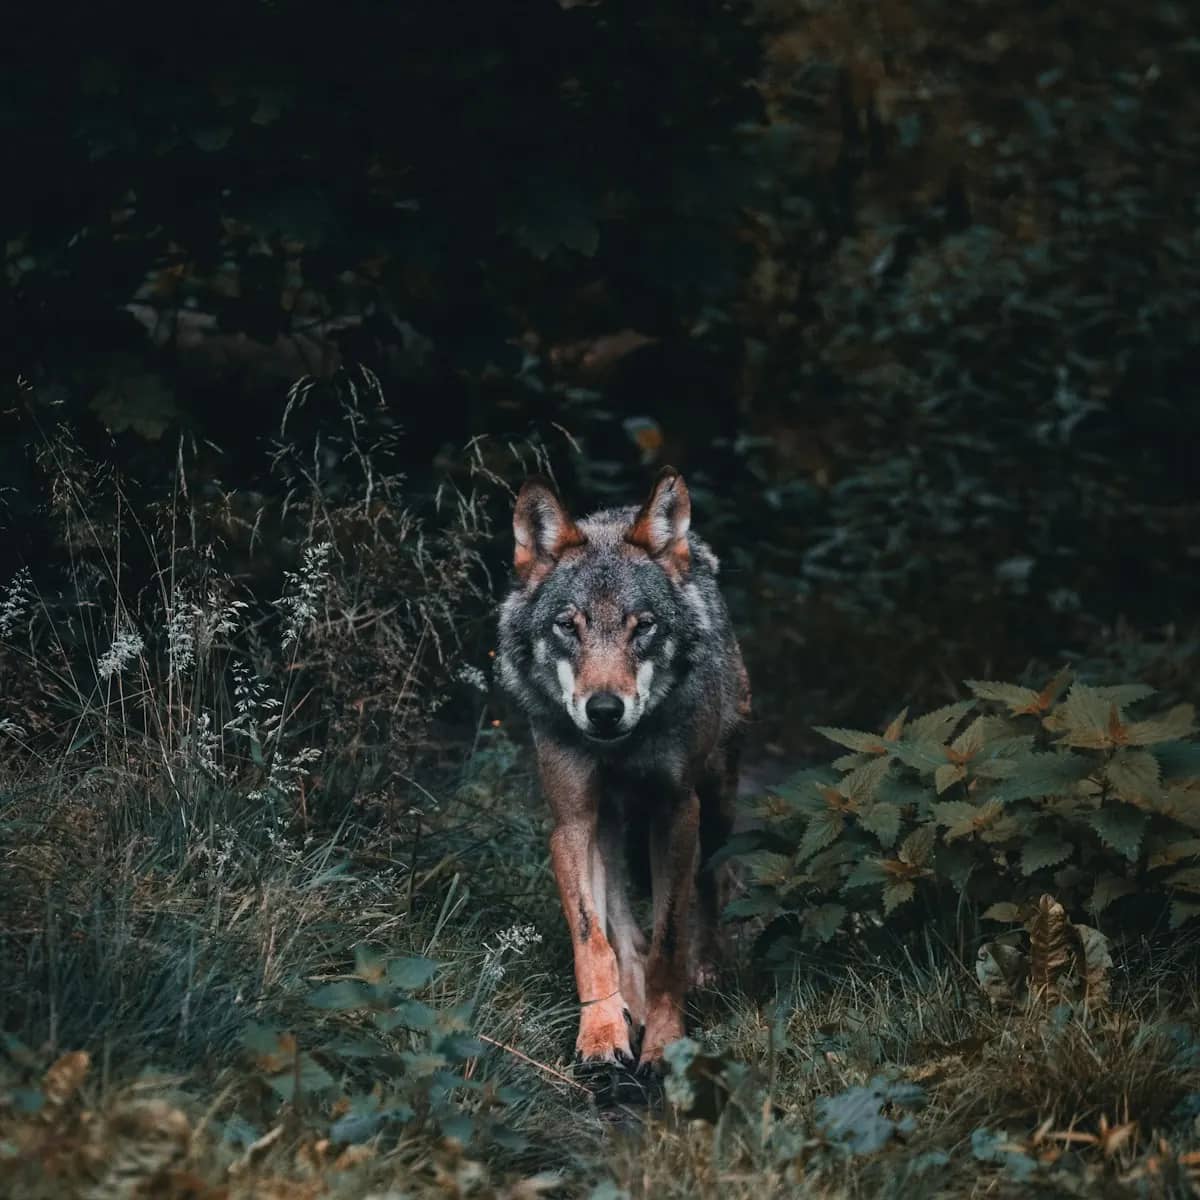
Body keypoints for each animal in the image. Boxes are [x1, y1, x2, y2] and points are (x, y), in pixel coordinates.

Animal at [496, 467, 750, 1070]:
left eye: (644, 627)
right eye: (568, 626)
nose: (605, 710)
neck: (619, 750)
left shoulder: (677, 812)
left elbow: (669, 940)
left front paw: (664, 1040)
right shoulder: (571, 822)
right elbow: (594, 939)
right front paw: (601, 1033)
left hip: (718, 804)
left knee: (712, 883)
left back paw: (706, 969)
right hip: (607, 826)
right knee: (621, 924)